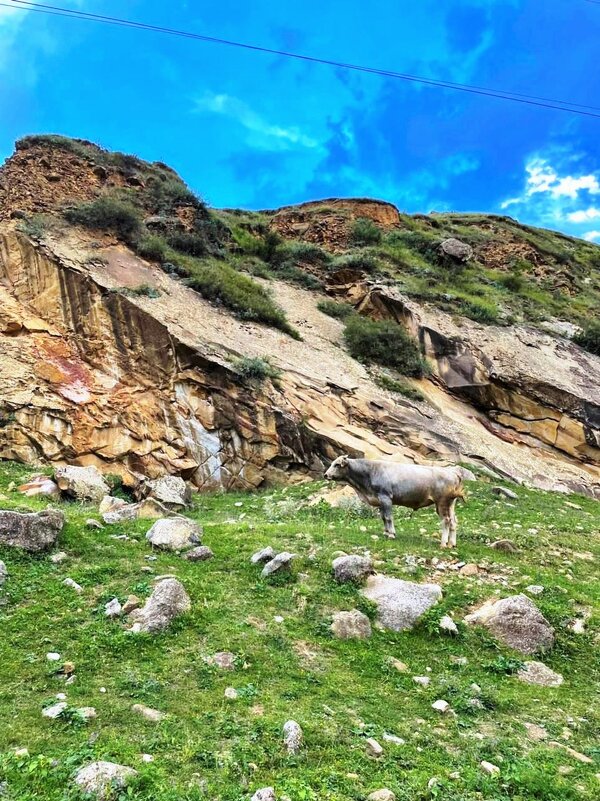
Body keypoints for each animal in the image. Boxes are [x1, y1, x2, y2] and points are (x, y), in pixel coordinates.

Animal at [326, 454, 466, 548]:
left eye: (337, 464)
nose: (325, 475)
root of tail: (453, 472)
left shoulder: (385, 497)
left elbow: (388, 517)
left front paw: (392, 534)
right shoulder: (380, 500)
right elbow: (383, 517)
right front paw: (386, 532)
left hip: (441, 502)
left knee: (446, 520)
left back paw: (443, 543)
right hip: (450, 504)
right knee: (454, 521)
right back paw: (452, 543)